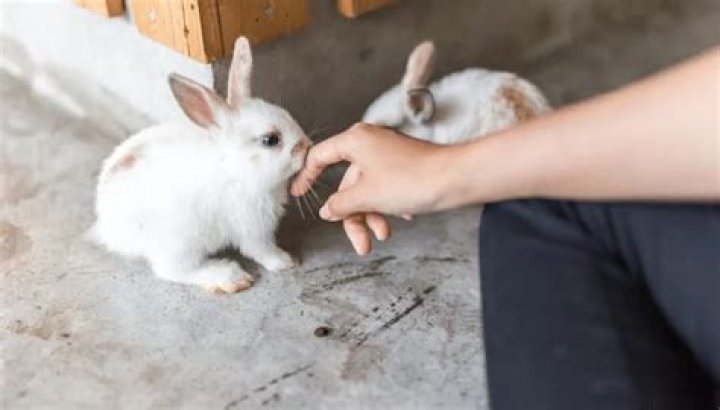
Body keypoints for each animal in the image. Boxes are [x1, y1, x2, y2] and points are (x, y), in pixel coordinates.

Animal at [92, 37, 312, 294]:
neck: (236, 168)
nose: (307, 145)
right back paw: (229, 277)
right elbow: (261, 250)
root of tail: (108, 224)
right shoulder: (252, 226)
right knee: (172, 270)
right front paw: (286, 261)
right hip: (180, 240)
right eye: (270, 140)